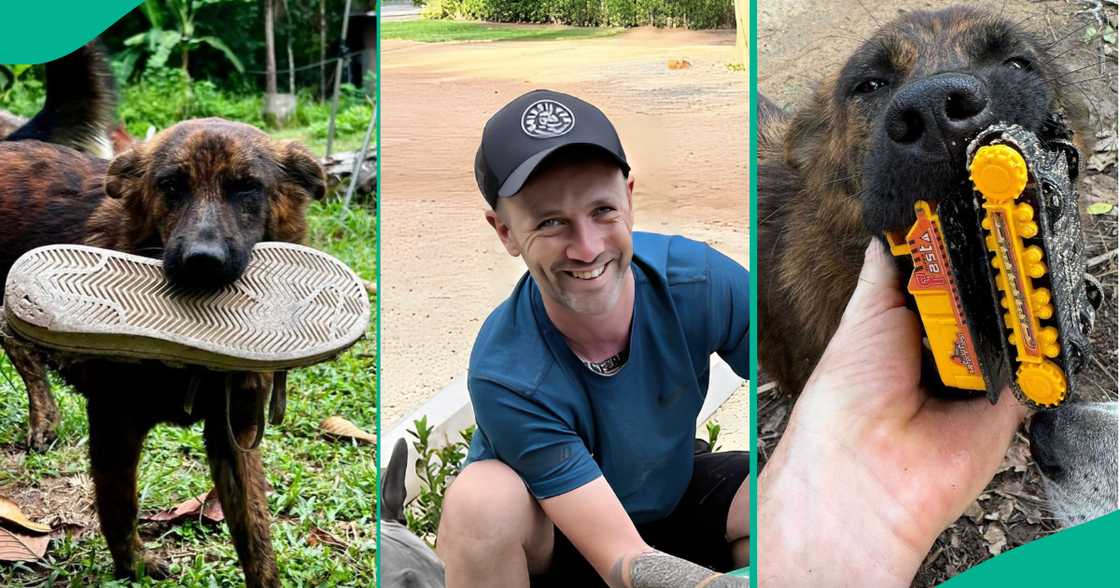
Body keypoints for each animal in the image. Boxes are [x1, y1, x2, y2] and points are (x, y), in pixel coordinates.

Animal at [0, 98, 324, 582]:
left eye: (247, 188)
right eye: (171, 186)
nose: (202, 262)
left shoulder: (235, 431)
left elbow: (256, 538)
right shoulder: (114, 419)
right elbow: (119, 503)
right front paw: (132, 564)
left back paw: (45, 417)